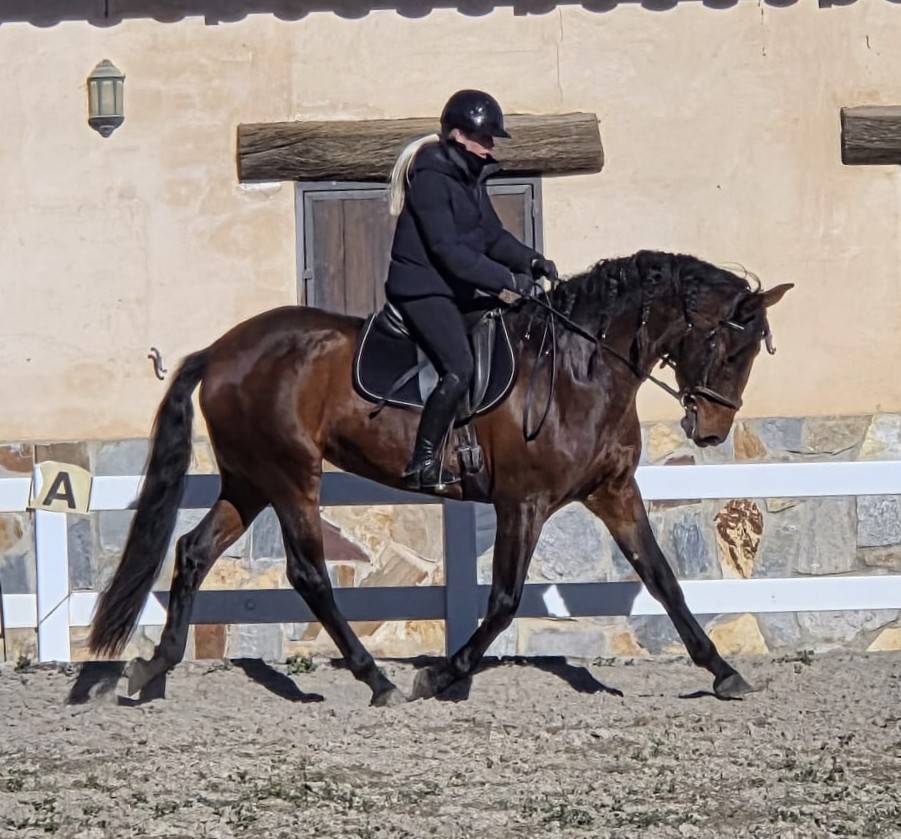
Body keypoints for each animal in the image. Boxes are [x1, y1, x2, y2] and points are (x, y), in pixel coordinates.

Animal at [88, 249, 792, 706]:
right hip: (290, 478)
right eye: (732, 347)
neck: (581, 370)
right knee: (308, 573)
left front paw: (722, 671)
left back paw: (153, 671)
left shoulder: (613, 492)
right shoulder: (524, 502)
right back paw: (377, 680)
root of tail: (220, 350)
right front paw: (444, 676)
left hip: (250, 481)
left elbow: (664, 580)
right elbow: (504, 600)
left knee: (192, 551)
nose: (711, 430)